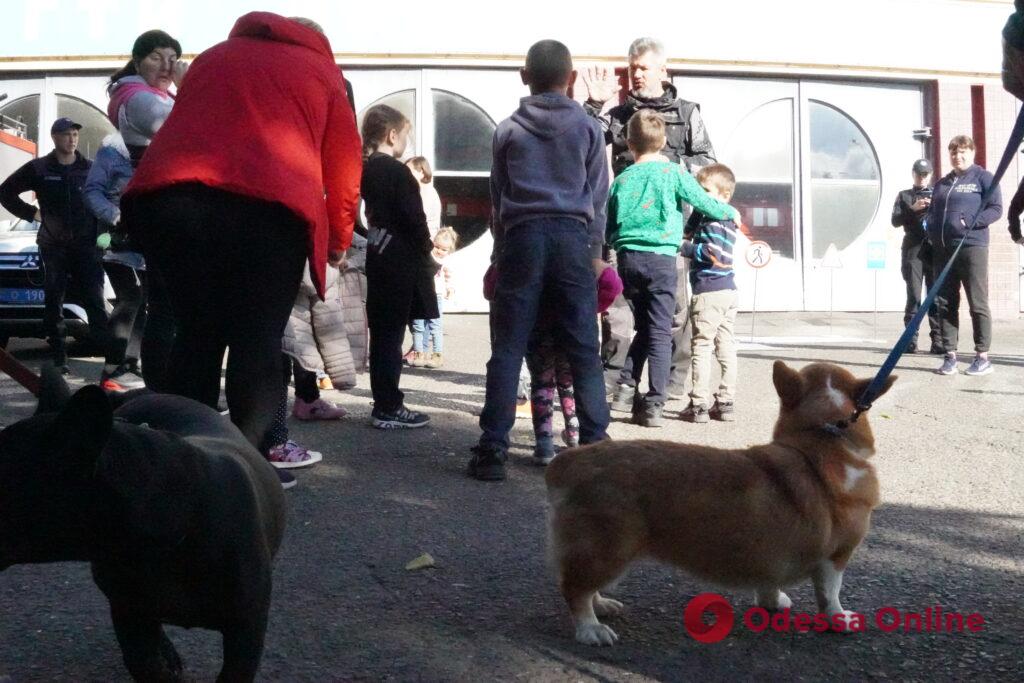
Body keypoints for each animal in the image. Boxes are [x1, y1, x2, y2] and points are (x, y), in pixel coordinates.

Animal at [544, 362, 897, 647]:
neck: (824, 439)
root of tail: (568, 463)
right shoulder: (837, 556)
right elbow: (830, 593)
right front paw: (839, 619)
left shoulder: (773, 553)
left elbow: (770, 584)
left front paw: (772, 602)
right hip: (611, 548)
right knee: (573, 588)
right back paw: (591, 628)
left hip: (602, 552)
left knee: (582, 583)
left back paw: (602, 605)